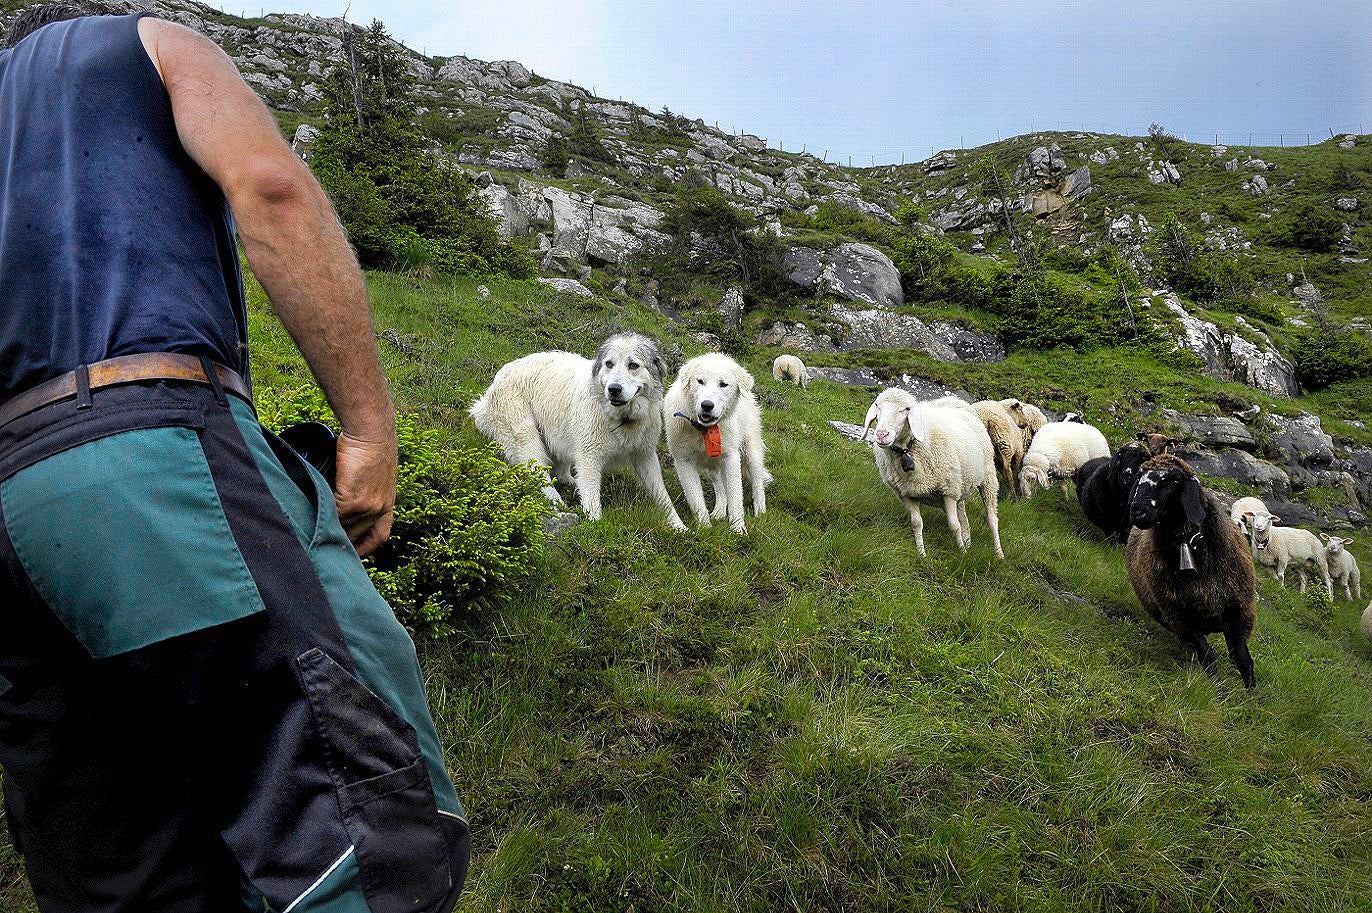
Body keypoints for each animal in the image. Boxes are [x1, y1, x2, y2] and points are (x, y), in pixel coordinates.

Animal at [471, 333, 686, 527]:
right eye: (609, 364)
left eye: (633, 365)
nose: (613, 389)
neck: (621, 418)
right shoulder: (589, 455)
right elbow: (591, 497)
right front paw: (594, 524)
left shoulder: (645, 455)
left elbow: (663, 496)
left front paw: (679, 527)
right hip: (525, 434)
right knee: (538, 472)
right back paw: (556, 503)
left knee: (561, 470)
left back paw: (572, 483)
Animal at [664, 350, 773, 535]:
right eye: (700, 381)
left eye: (723, 384)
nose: (707, 405)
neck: (703, 430)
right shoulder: (684, 462)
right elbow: (696, 500)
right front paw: (704, 528)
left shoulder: (731, 457)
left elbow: (736, 496)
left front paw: (738, 530)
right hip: (712, 466)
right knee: (720, 487)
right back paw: (720, 511)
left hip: (751, 452)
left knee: (757, 482)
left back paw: (760, 512)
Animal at [861, 387, 1004, 560]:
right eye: (877, 406)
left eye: (906, 409)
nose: (882, 434)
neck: (906, 450)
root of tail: (956, 401)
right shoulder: (907, 494)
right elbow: (917, 524)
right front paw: (922, 554)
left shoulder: (948, 491)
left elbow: (954, 526)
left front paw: (961, 553)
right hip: (960, 484)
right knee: (964, 519)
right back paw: (969, 545)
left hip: (987, 477)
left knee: (992, 519)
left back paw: (998, 553)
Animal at [1125, 453, 1256, 686]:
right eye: (1139, 475)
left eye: (1175, 479)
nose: (1137, 510)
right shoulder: (1181, 617)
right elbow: (1209, 657)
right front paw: (1219, 691)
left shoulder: (1238, 610)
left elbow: (1243, 660)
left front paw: (1253, 696)